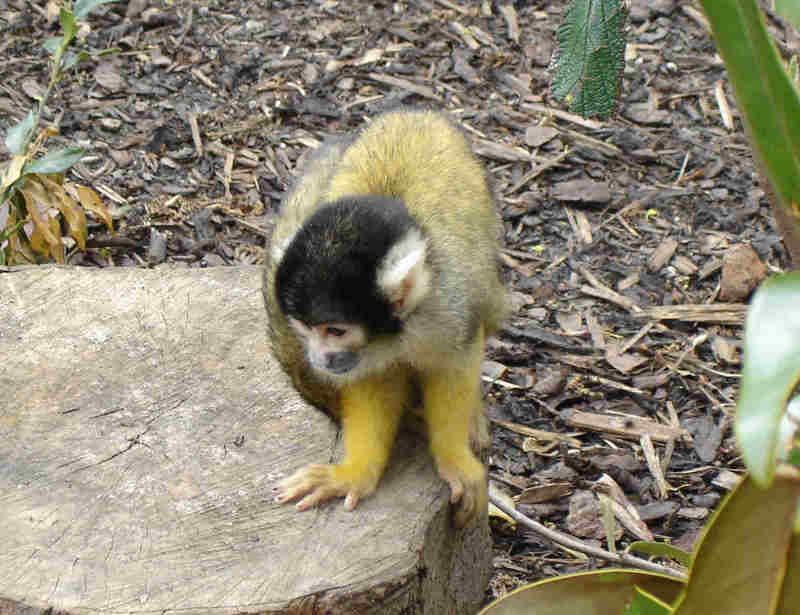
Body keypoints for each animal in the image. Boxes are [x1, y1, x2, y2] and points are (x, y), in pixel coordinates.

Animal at [266, 108, 510, 528]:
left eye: (335, 331)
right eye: (305, 329)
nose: (318, 359)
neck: (393, 334)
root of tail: (416, 110)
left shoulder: (446, 307)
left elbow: (455, 363)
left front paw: (455, 460)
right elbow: (373, 384)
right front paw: (353, 474)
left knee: (487, 304)